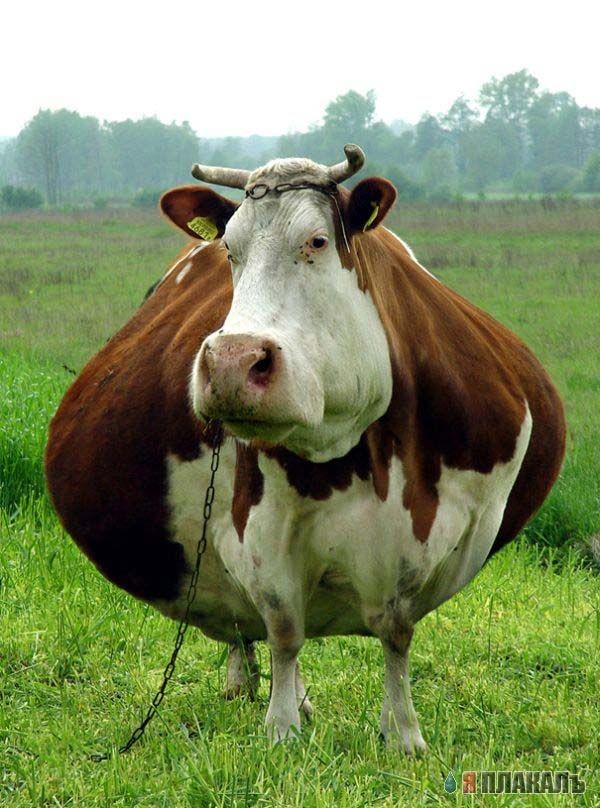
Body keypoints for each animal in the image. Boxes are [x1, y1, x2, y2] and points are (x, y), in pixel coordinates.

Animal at [45, 145, 566, 752]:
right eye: (229, 249)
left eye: (316, 241)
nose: (232, 361)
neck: (353, 453)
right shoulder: (259, 525)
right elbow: (283, 628)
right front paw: (282, 728)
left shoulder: (432, 526)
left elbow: (396, 630)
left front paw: (402, 733)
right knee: (248, 629)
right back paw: (258, 685)